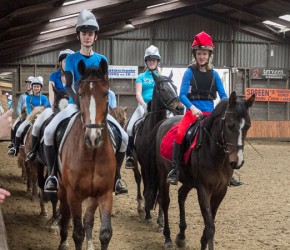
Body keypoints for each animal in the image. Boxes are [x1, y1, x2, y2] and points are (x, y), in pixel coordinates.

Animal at [57, 59, 116, 250]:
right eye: (80, 94)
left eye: (105, 94)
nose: (93, 137)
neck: (93, 154)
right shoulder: (73, 194)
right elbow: (77, 233)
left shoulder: (105, 193)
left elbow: (105, 233)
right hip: (62, 190)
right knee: (65, 215)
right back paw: (63, 242)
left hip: (92, 196)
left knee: (88, 218)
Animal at [131, 72, 184, 221]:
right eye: (162, 89)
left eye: (175, 87)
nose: (180, 108)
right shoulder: (145, 163)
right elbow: (147, 187)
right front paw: (148, 212)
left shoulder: (159, 166)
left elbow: (160, 192)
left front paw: (160, 218)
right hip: (135, 159)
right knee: (138, 178)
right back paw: (140, 207)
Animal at [148, 91, 255, 248]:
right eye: (230, 125)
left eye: (247, 126)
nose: (237, 162)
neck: (216, 155)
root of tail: (165, 122)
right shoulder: (204, 189)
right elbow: (210, 227)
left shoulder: (221, 190)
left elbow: (210, 224)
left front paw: (202, 242)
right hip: (163, 175)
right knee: (165, 201)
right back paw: (167, 237)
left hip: (189, 181)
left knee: (181, 195)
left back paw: (181, 236)